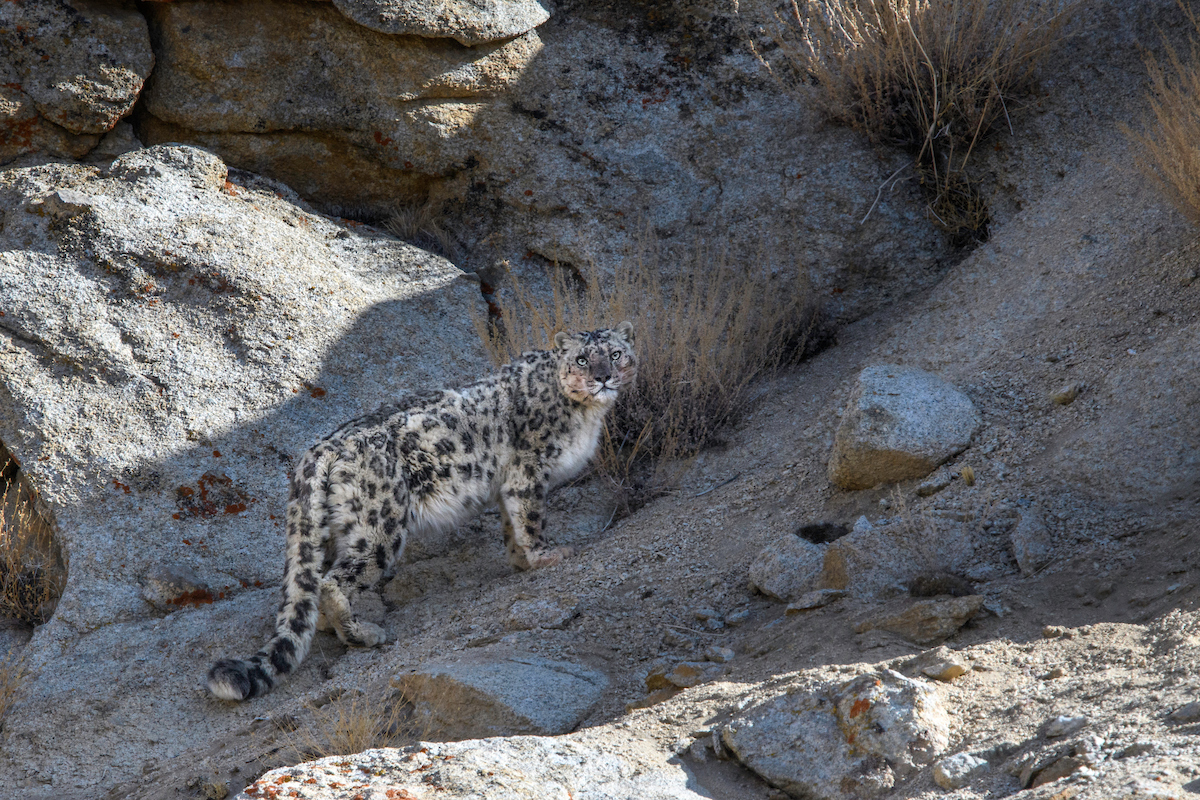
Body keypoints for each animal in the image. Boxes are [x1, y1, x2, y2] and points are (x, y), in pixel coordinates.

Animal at [207, 322, 636, 701]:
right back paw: (364, 633)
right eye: (582, 359)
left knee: (313, 579)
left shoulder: (507, 485)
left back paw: (329, 625)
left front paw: (519, 560)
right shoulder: (528, 471)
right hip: (380, 526)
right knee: (334, 580)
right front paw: (547, 555)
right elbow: (530, 518)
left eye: (616, 353)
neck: (585, 415)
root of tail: (317, 452)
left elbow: (510, 525)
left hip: (328, 529)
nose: (603, 377)